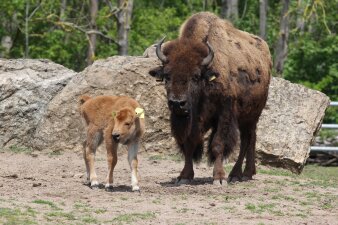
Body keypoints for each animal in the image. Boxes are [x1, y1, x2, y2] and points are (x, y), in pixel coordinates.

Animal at [149, 11, 270, 185]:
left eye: (195, 76)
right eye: (167, 76)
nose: (177, 103)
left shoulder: (225, 113)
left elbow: (218, 144)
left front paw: (219, 178)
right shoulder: (190, 120)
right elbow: (189, 143)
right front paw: (184, 176)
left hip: (251, 115)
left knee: (246, 139)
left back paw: (237, 174)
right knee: (251, 138)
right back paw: (248, 173)